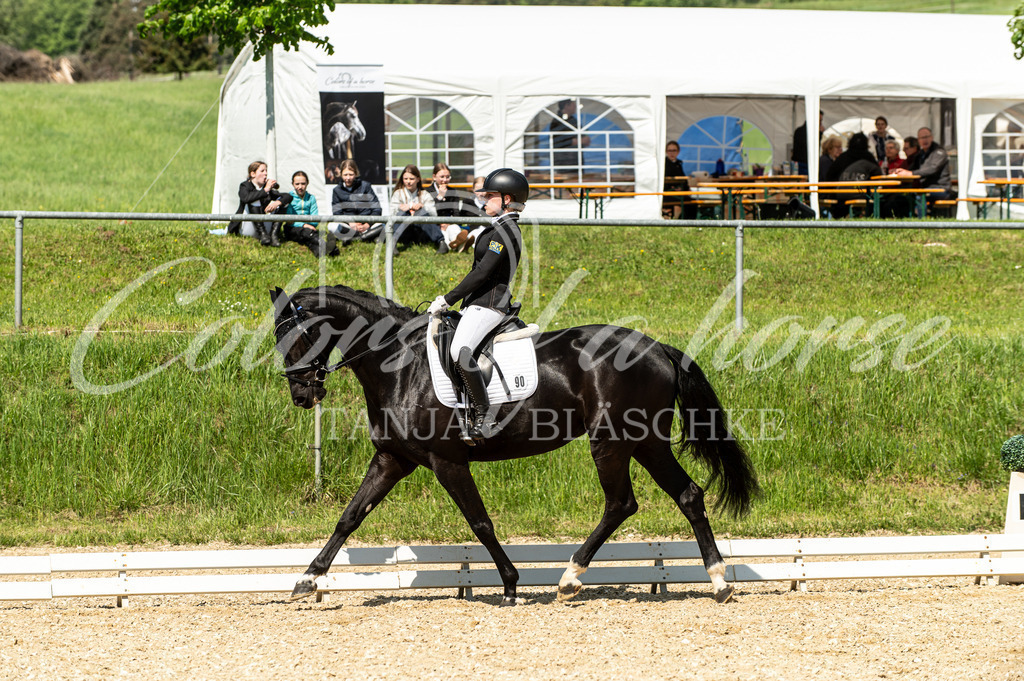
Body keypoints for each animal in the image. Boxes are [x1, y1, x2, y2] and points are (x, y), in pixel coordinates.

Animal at [272, 284, 761, 602]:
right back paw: (719, 582)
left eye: (298, 335)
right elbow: (349, 517)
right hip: (646, 442)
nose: (301, 395)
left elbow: (480, 522)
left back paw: (569, 578)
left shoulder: (447, 461)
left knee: (621, 503)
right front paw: (307, 580)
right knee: (688, 494)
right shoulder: (392, 458)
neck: (399, 364)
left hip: (613, 441)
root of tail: (658, 347)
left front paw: (509, 583)